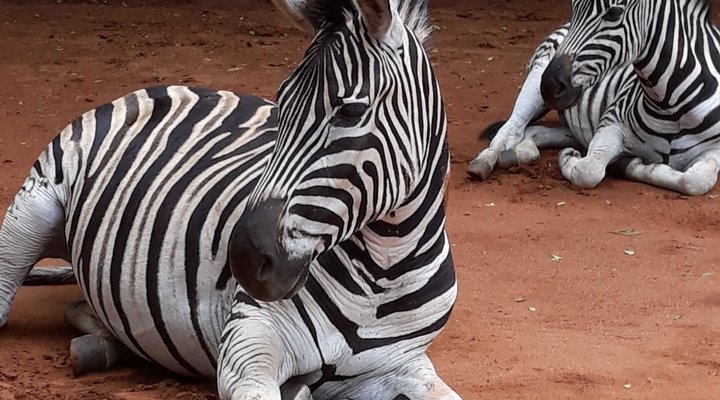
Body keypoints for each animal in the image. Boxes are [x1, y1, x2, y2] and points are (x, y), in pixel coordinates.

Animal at [0, 0, 459, 399]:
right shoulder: (250, 342)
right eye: (281, 105)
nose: (242, 259)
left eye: (349, 112)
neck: (387, 269)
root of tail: (156, 87)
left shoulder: (396, 366)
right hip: (33, 208)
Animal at [468, 0, 720, 196]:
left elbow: (695, 180)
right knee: (511, 129)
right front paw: (571, 159)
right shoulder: (612, 121)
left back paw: (520, 153)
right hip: (536, 79)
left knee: (535, 132)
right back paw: (485, 162)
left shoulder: (714, 150)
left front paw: (633, 164)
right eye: (573, 6)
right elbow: (588, 170)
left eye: (614, 13)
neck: (673, 106)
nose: (548, 86)